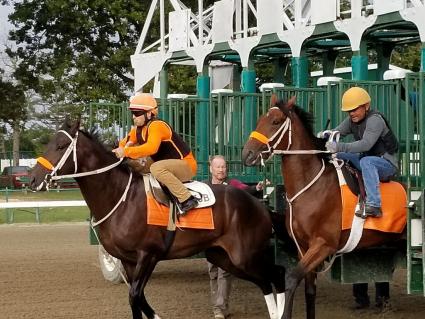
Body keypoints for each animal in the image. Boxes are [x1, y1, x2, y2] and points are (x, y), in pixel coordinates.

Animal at [30, 119, 284, 319]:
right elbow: (138, 297)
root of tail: (260, 204)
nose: (33, 179)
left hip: (244, 255)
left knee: (277, 274)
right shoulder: (129, 260)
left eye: (61, 146)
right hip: (223, 256)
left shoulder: (148, 255)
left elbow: (134, 296)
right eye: (49, 143)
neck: (121, 198)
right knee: (265, 281)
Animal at [242, 97, 404, 319]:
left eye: (275, 121)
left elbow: (292, 278)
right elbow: (310, 289)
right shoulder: (303, 246)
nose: (247, 154)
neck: (311, 186)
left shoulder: (323, 244)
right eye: (260, 120)